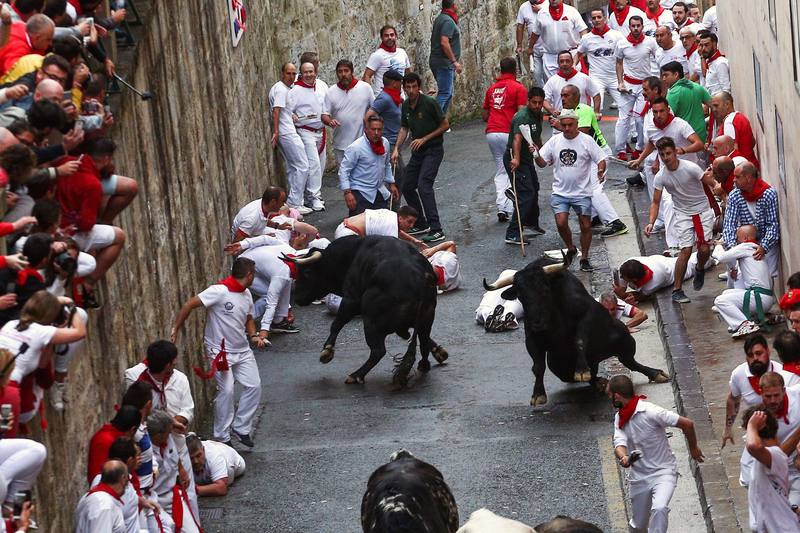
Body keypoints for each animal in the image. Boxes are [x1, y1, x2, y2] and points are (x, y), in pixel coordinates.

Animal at [282, 236, 446, 382]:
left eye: (306, 273)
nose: (298, 299)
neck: (350, 255)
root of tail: (420, 279)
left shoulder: (351, 300)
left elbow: (337, 323)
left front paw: (327, 351)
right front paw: (439, 351)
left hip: (371, 322)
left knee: (378, 351)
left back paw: (356, 375)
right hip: (426, 317)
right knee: (423, 340)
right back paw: (424, 364)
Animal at [488, 256, 668, 404]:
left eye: (544, 291)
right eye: (520, 296)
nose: (537, 322)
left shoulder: (586, 315)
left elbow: (579, 339)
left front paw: (581, 371)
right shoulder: (531, 337)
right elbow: (538, 366)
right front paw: (537, 394)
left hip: (625, 341)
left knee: (629, 361)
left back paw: (655, 373)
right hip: (557, 364)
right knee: (591, 374)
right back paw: (599, 382)